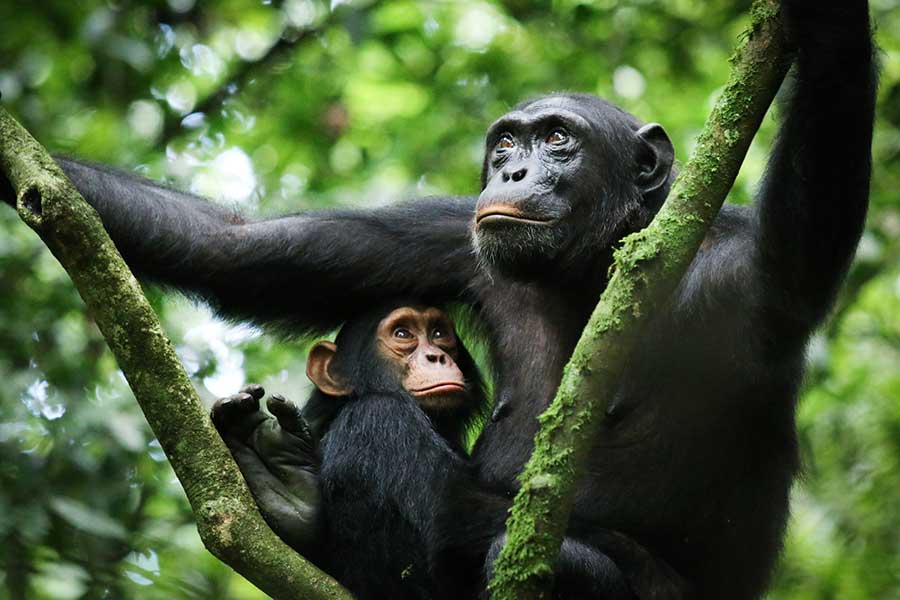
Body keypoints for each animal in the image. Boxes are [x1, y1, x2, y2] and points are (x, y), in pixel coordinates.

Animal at [0, 2, 872, 596]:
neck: (595, 266)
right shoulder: (454, 236)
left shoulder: (743, 274)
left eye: (559, 140)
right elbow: (237, 248)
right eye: (507, 143)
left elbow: (813, 207)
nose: (511, 171)